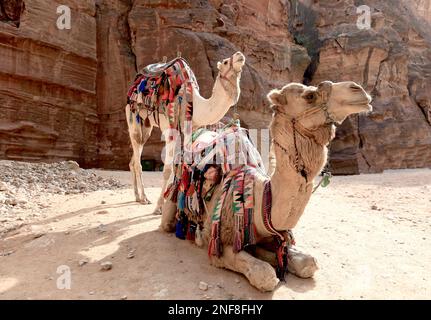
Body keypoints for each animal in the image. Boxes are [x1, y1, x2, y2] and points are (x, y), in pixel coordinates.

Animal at [125, 52, 246, 212]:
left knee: (133, 159)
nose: (239, 55)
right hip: (133, 119)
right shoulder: (171, 130)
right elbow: (168, 169)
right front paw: (159, 206)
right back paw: (144, 198)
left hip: (146, 126)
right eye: (226, 62)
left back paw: (137, 196)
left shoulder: (190, 131)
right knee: (138, 160)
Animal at [160, 80, 372, 292]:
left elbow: (308, 263)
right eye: (310, 96)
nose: (358, 89)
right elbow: (264, 274)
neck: (260, 196)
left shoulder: (275, 234)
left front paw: (276, 257)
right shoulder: (215, 240)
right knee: (168, 220)